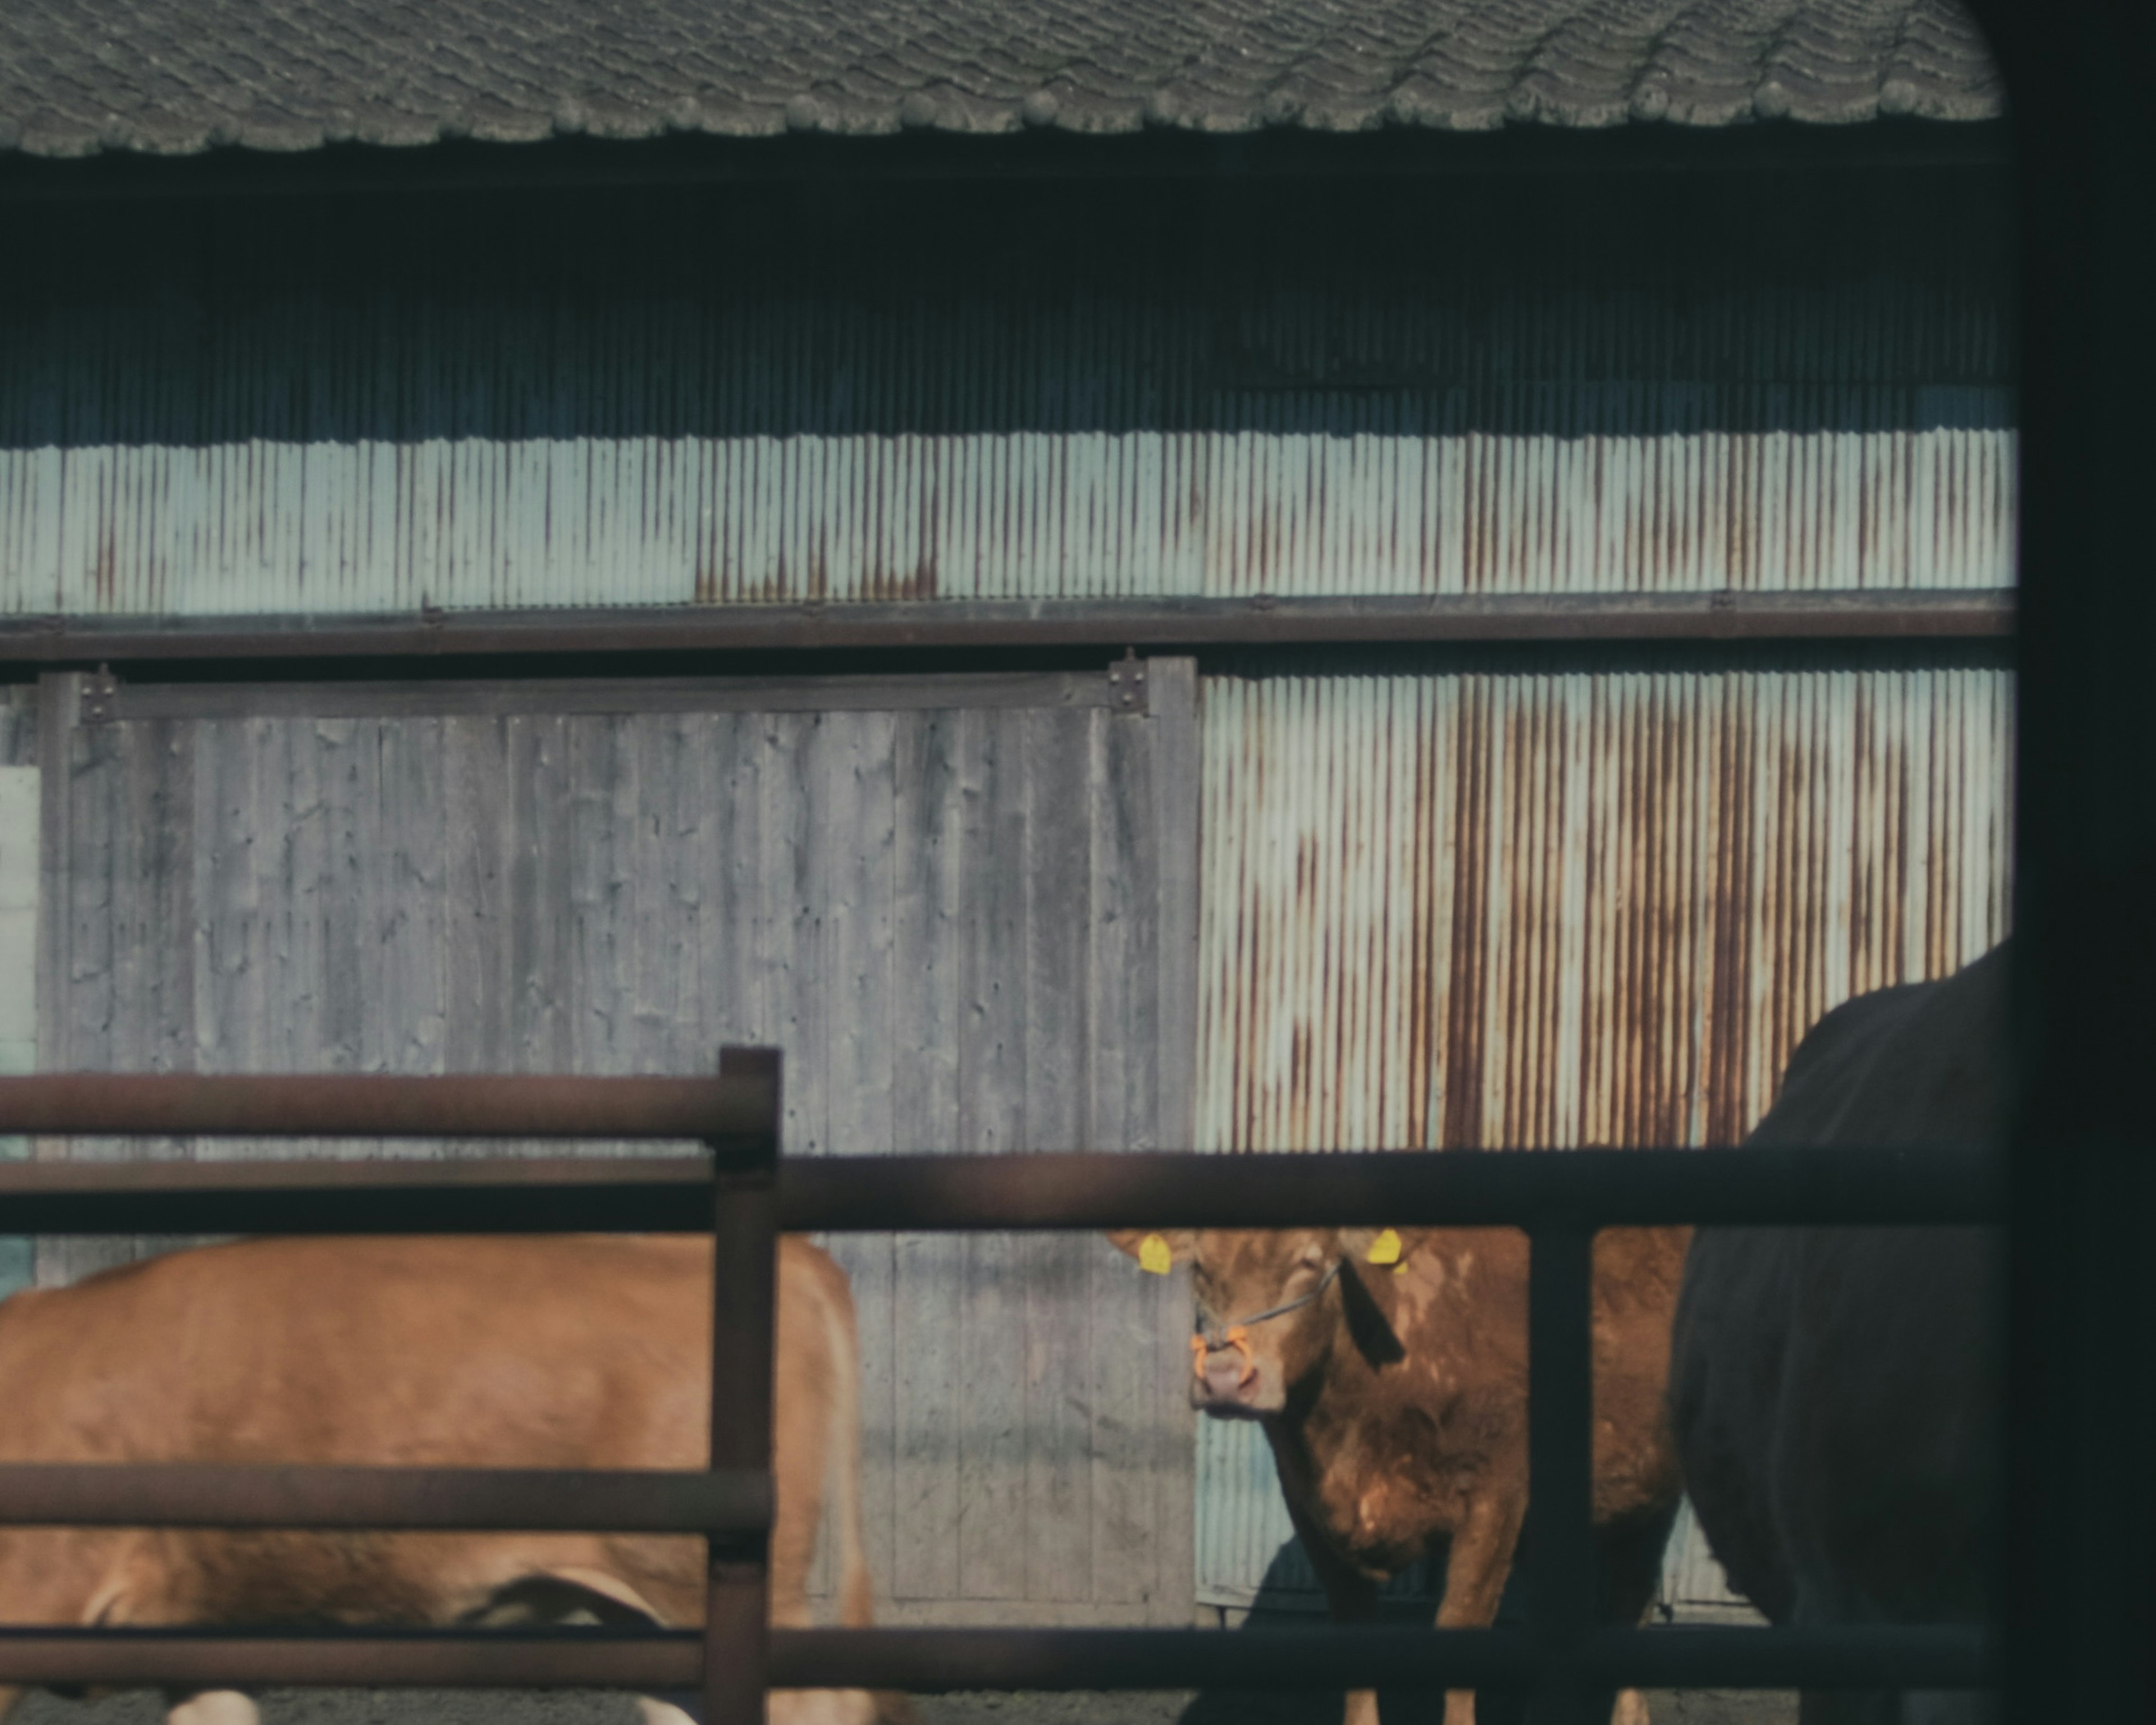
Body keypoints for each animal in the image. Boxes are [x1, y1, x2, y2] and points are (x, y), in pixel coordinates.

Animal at [1121, 1216, 1690, 1725]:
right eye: (1200, 1267)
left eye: (1309, 1261)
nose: (1222, 1378)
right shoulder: (1307, 1503)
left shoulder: (1496, 1498)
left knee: (1631, 1601)